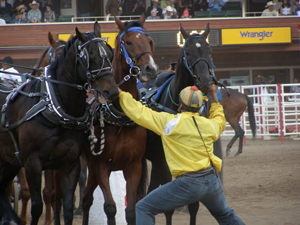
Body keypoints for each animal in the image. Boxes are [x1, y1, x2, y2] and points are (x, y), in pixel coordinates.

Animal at [0, 21, 118, 225]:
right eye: (90, 56)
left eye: (110, 54)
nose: (112, 92)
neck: (54, 109)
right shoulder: (32, 164)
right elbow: (37, 205)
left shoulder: (70, 164)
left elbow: (67, 206)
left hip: (9, 162)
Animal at [81, 14, 158, 225]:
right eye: (129, 42)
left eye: (149, 41)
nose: (150, 69)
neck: (120, 118)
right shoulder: (101, 167)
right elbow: (110, 208)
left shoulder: (133, 167)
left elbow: (130, 210)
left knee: (87, 200)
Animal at [144, 23, 224, 225]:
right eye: (187, 52)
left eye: (209, 50)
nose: (205, 81)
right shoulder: (163, 161)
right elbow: (167, 207)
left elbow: (193, 205)